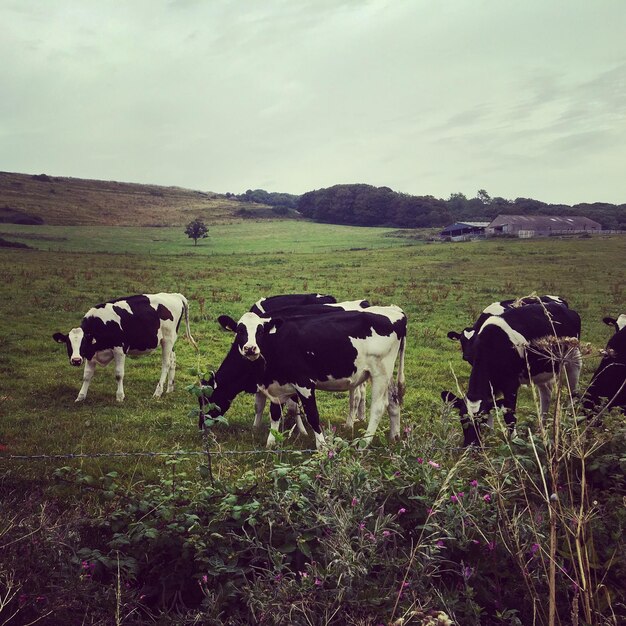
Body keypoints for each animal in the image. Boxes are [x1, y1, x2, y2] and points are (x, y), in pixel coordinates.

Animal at [52, 292, 196, 400]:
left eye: (82, 343)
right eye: (68, 343)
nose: (76, 360)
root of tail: (174, 295)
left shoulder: (119, 350)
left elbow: (119, 374)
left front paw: (120, 396)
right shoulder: (91, 354)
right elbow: (87, 375)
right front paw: (80, 396)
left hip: (167, 339)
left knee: (166, 364)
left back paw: (158, 392)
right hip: (171, 342)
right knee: (173, 361)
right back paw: (169, 389)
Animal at [202, 304, 404, 446]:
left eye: (260, 331)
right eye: (240, 331)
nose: (250, 348)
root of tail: (395, 311)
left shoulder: (304, 384)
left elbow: (311, 414)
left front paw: (321, 445)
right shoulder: (277, 385)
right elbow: (275, 412)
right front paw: (271, 441)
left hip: (380, 373)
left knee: (378, 406)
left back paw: (365, 442)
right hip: (387, 375)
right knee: (393, 402)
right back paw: (394, 436)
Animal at [460, 302, 584, 438]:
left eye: (480, 420)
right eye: (462, 421)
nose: (471, 442)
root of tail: (568, 310)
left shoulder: (511, 385)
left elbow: (509, 416)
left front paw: (513, 439)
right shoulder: (491, 386)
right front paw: (491, 436)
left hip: (573, 358)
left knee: (573, 393)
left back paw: (571, 423)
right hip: (540, 369)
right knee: (546, 393)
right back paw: (541, 428)